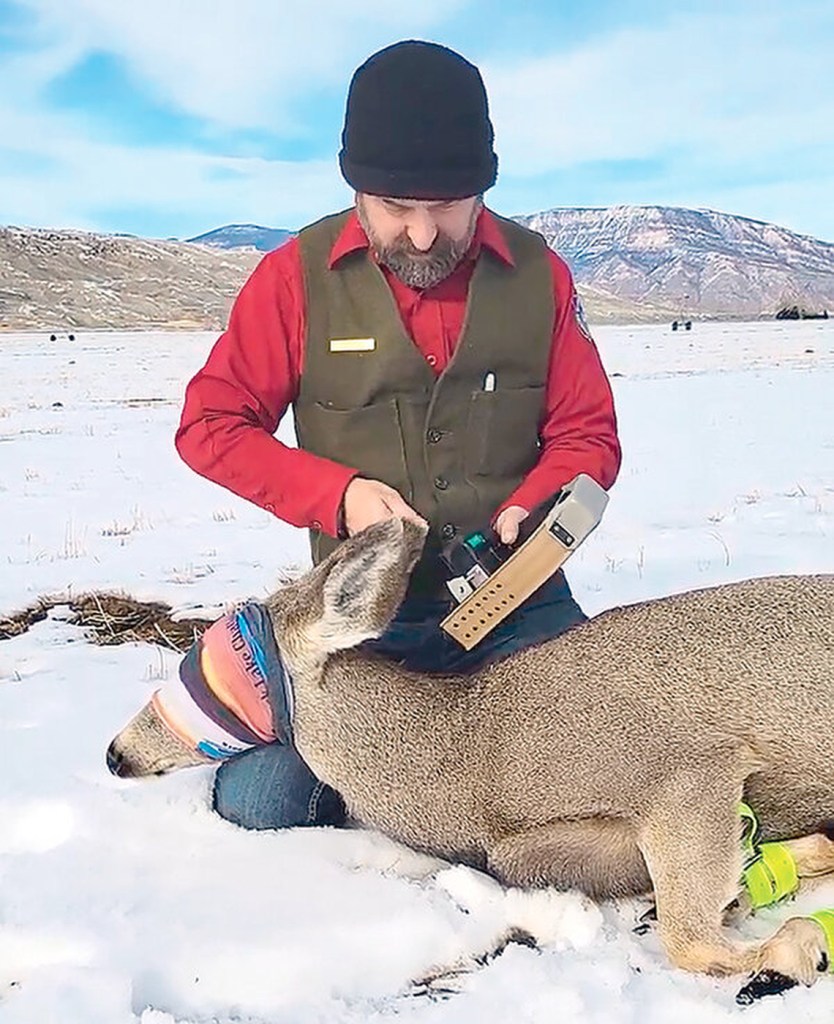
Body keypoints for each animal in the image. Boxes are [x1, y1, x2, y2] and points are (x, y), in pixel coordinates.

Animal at [107, 517, 834, 1004]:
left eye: (209, 672)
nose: (117, 754)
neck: (474, 757)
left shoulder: (689, 773)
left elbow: (689, 937)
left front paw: (800, 947)